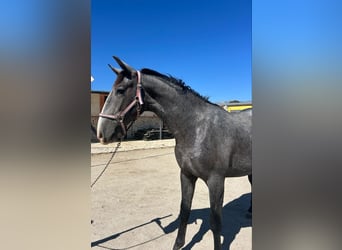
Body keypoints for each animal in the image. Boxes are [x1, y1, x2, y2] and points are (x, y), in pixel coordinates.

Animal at [96, 56, 251, 250]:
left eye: (120, 90)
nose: (101, 133)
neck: (196, 127)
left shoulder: (216, 180)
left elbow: (215, 223)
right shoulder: (186, 175)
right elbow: (184, 210)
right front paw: (178, 244)